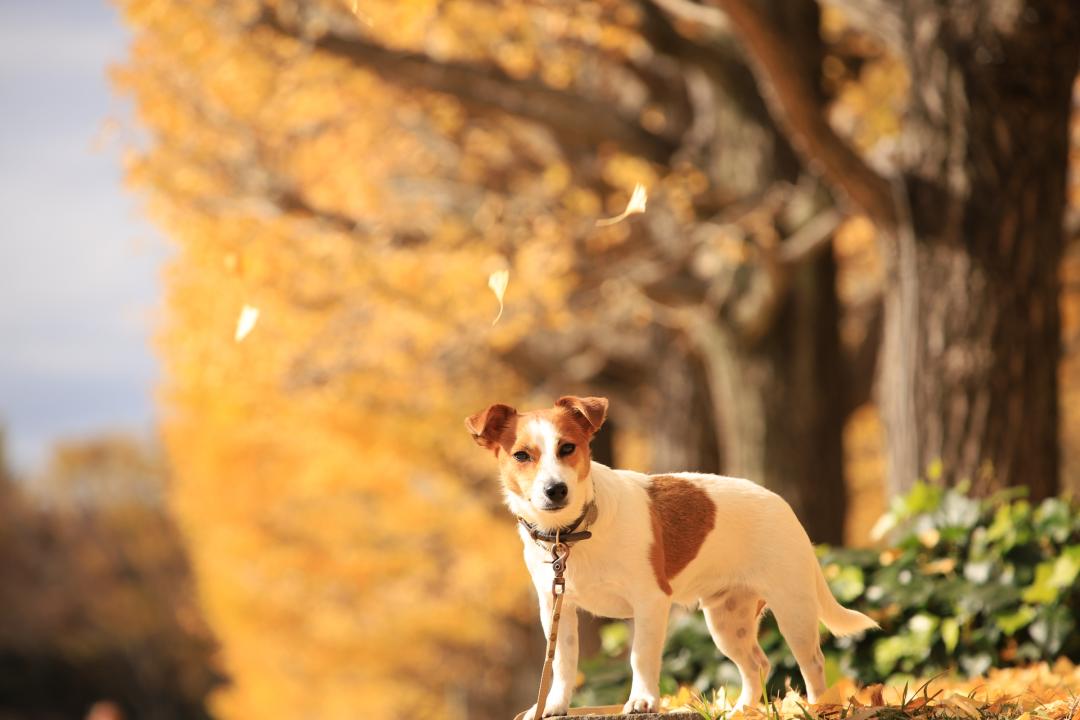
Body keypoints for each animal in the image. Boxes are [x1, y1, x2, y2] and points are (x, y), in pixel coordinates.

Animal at [464, 397, 876, 716]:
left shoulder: (650, 601)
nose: (555, 490)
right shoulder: (557, 607)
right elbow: (564, 663)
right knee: (757, 665)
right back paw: (742, 710)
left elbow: (640, 655)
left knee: (812, 663)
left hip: (794, 610)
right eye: (521, 455)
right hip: (727, 622)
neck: (570, 534)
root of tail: (783, 505)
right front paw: (553, 706)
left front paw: (642, 701)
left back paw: (817, 707)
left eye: (568, 448)